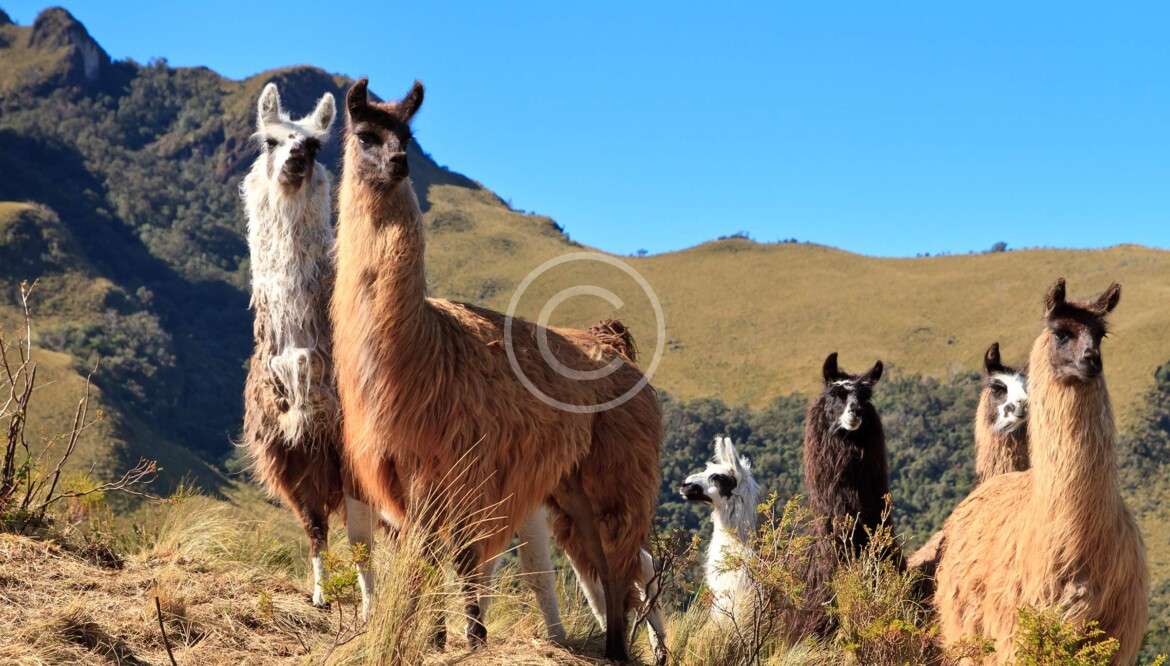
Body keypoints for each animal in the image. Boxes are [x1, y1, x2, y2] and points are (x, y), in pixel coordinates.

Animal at [331, 78, 662, 661]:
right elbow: (426, 559)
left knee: (621, 560)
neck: (421, 347)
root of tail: (612, 344)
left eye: (408, 137)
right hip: (570, 485)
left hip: (620, 471)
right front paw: (437, 638)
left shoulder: (466, 467)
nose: (398, 163)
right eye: (366, 134)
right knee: (599, 562)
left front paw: (473, 638)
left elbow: (462, 560)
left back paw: (620, 650)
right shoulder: (405, 475)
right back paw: (610, 646)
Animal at [933, 279, 1147, 664]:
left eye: (1100, 334)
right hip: (964, 636)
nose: (1091, 360)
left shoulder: (1117, 641)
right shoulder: (1014, 635)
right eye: (1060, 332)